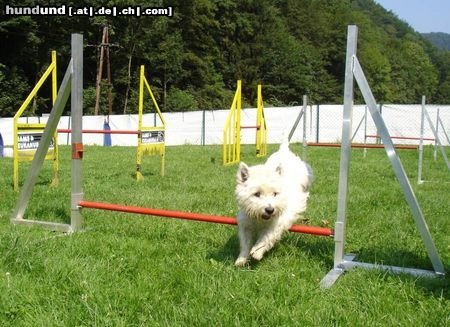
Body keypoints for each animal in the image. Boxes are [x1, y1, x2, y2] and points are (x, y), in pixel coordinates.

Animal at [236, 138, 312, 266]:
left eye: (275, 194)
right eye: (257, 194)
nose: (270, 210)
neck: (261, 219)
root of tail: (284, 150)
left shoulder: (277, 223)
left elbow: (266, 237)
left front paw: (257, 252)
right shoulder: (246, 223)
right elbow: (245, 242)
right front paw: (241, 260)